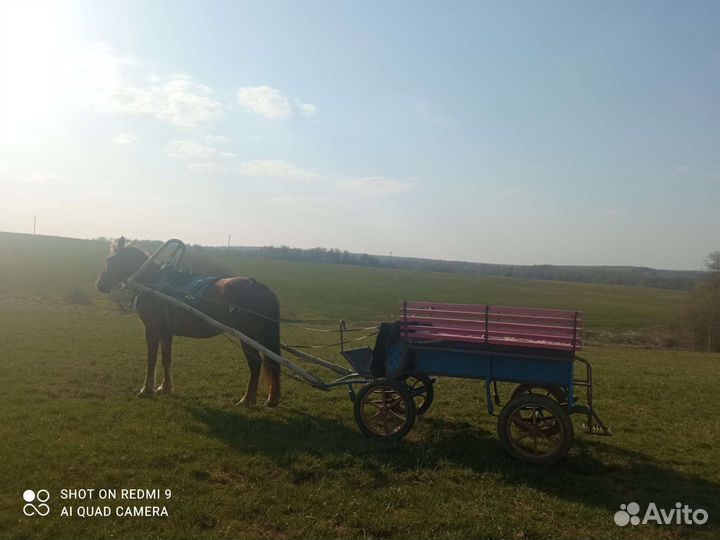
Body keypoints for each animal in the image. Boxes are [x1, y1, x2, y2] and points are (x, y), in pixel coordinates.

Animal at [95, 237, 281, 407]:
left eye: (110, 261)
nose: (99, 284)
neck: (155, 282)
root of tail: (263, 289)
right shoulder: (166, 332)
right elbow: (166, 358)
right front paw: (165, 387)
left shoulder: (152, 329)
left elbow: (152, 359)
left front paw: (146, 389)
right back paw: (271, 398)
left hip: (248, 338)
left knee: (255, 364)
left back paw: (247, 399)